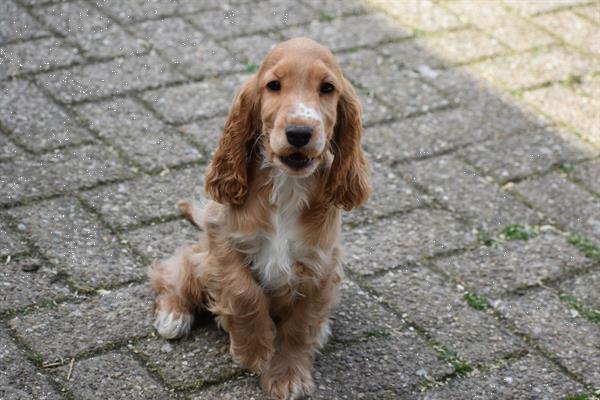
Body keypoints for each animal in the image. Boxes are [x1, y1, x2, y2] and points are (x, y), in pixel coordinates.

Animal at [148, 37, 368, 400]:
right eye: (274, 85)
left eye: (327, 88)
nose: (299, 132)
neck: (286, 186)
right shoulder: (223, 241)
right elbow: (244, 292)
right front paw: (254, 350)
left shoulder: (321, 267)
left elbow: (300, 326)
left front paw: (288, 375)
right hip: (197, 258)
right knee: (171, 272)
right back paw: (173, 315)